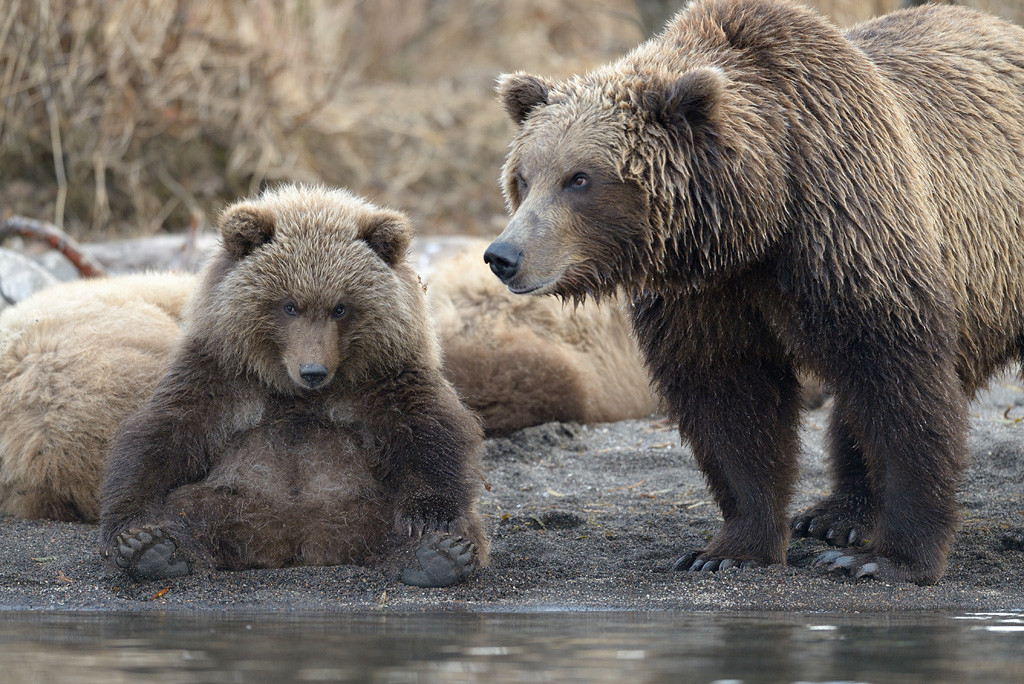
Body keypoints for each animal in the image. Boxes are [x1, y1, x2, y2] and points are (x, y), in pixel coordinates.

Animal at [93, 185, 487, 589]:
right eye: (289, 305)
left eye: (341, 307)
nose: (313, 371)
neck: (294, 391)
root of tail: (295, 535)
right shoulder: (222, 374)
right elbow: (166, 433)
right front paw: (130, 527)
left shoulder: (384, 378)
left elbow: (426, 432)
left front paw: (429, 519)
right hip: (229, 496)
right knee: (187, 509)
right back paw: (157, 550)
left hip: (367, 500)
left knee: (423, 520)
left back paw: (435, 555)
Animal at [485, 0, 1024, 585]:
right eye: (523, 176)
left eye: (579, 178)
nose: (504, 255)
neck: (759, 214)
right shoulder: (705, 294)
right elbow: (731, 401)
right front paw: (730, 547)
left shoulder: (846, 228)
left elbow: (898, 378)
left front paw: (888, 558)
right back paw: (836, 516)